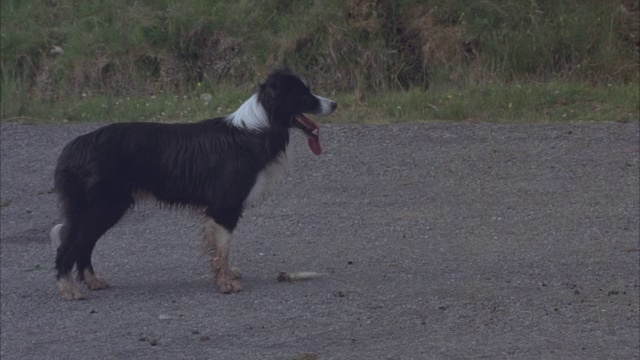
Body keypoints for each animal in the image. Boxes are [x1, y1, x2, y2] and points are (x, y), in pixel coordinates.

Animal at [51, 69, 336, 300]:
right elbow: (222, 247)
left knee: (83, 244)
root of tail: (71, 149)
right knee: (70, 245)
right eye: (304, 94)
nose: (334, 103)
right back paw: (68, 290)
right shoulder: (224, 206)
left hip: (104, 207)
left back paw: (92, 281)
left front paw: (228, 275)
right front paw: (226, 284)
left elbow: (221, 249)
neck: (260, 126)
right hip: (102, 205)